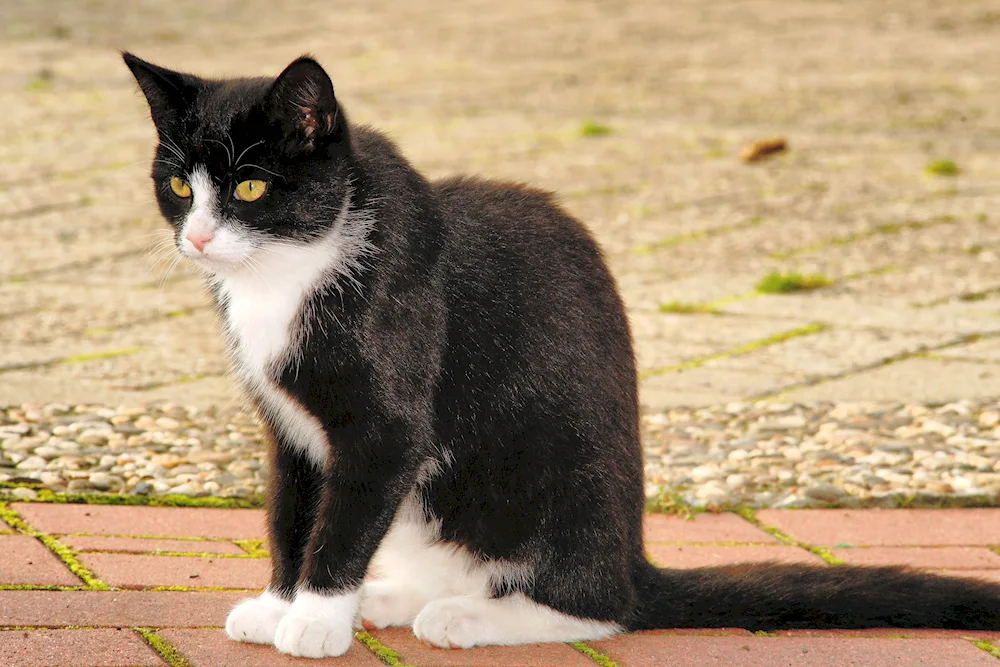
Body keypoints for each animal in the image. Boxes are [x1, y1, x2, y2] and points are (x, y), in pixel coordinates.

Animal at [123, 54, 1000, 660]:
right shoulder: (289, 429)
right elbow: (290, 512)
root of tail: (634, 557)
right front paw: (280, 602)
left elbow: (341, 522)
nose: (197, 238)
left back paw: (470, 614)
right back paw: (403, 595)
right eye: (178, 186)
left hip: (556, 483)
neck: (290, 271)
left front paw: (312, 619)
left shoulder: (385, 425)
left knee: (599, 606)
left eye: (249, 190)